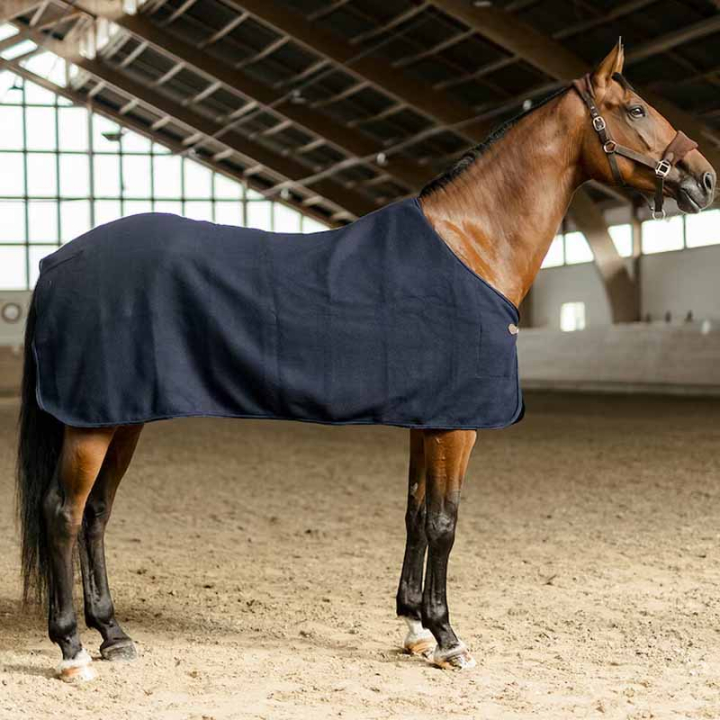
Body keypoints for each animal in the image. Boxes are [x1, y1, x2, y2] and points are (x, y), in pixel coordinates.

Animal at [15, 40, 716, 681]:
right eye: (636, 108)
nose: (705, 177)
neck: (471, 242)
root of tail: (55, 260)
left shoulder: (427, 420)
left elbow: (415, 511)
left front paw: (413, 628)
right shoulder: (457, 425)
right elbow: (444, 522)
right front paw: (448, 637)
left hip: (122, 416)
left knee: (96, 514)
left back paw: (114, 634)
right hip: (93, 422)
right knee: (63, 513)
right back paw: (73, 650)